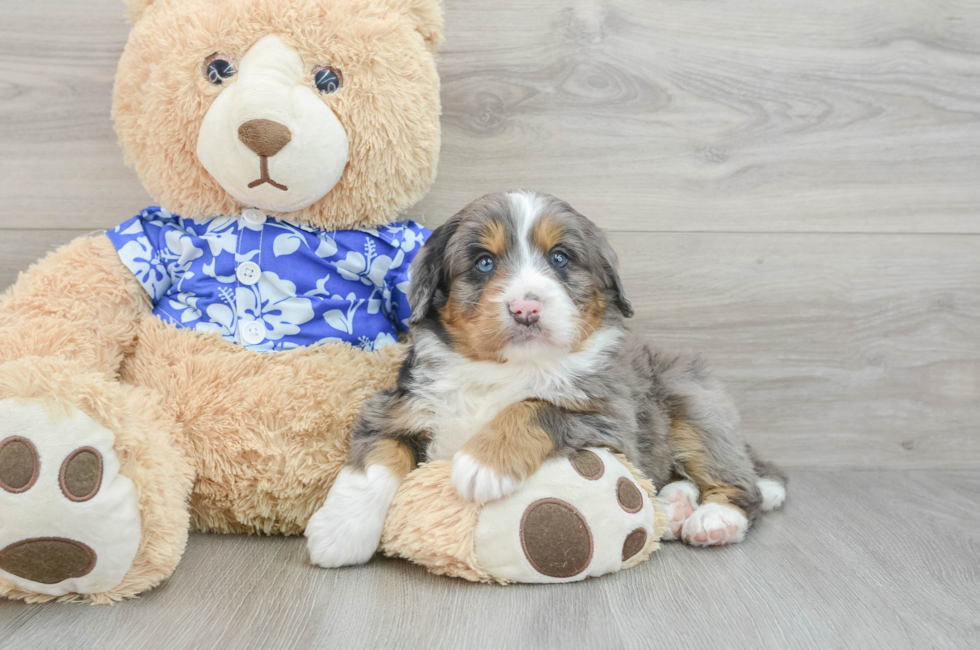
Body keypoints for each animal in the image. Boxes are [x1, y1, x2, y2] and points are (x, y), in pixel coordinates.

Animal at [306, 190, 788, 564]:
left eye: (560, 258)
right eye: (484, 262)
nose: (526, 308)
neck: (503, 369)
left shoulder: (611, 420)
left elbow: (534, 406)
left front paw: (482, 463)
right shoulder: (395, 406)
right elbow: (374, 463)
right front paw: (339, 533)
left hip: (691, 400)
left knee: (741, 482)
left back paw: (715, 519)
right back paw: (676, 506)